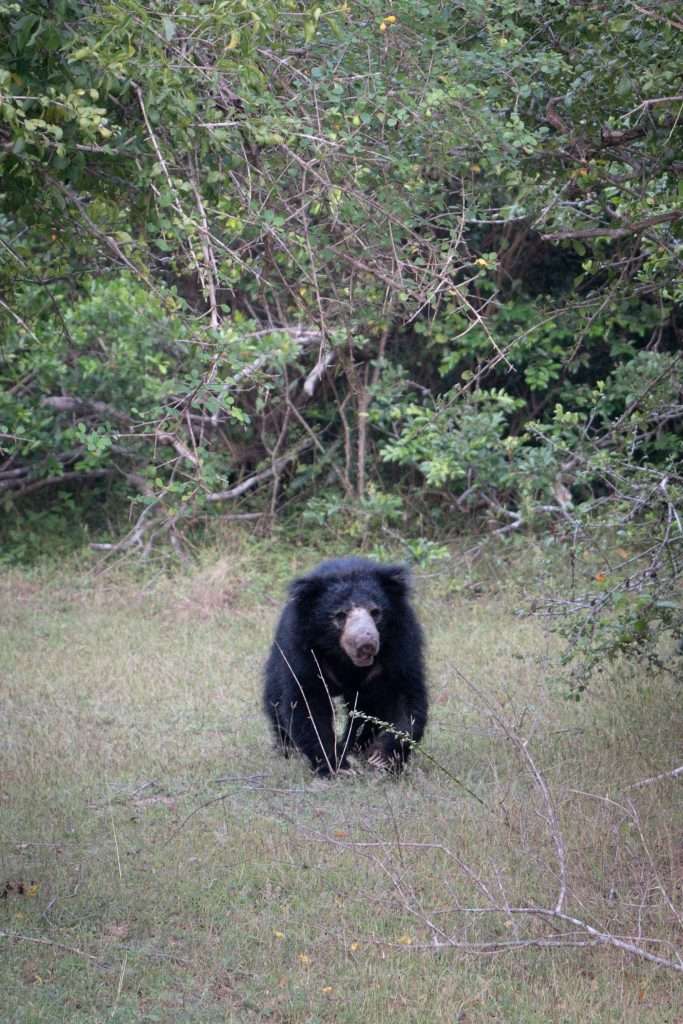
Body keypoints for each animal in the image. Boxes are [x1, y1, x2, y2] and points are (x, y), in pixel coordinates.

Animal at [264, 561, 428, 774]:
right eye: (340, 615)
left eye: (376, 612)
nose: (366, 643)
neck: (346, 660)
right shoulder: (302, 647)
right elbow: (308, 702)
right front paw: (337, 765)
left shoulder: (401, 644)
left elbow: (404, 697)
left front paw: (381, 757)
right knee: (274, 702)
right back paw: (288, 750)